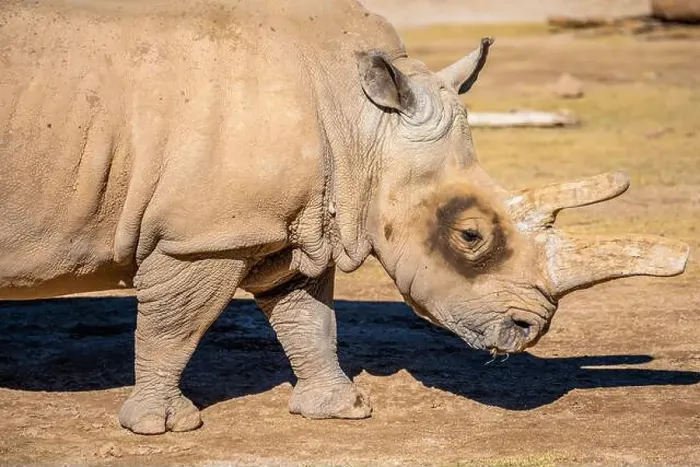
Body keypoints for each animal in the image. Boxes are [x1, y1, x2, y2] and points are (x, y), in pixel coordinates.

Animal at [0, 0, 689, 434]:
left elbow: (309, 318)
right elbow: (176, 326)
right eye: (469, 236)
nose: (529, 330)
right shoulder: (204, 236)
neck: (363, 122)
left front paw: (342, 409)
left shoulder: (296, 222)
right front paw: (162, 427)